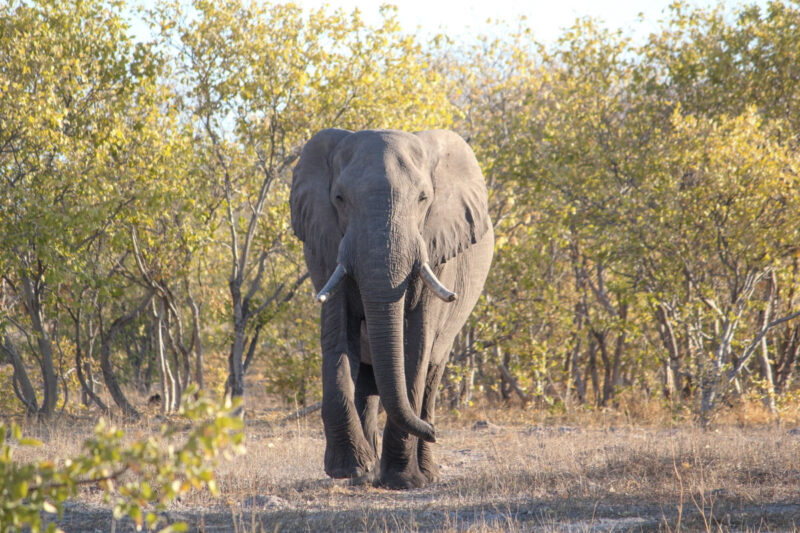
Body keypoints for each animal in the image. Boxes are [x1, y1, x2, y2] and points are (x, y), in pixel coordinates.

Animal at [290, 128, 494, 486]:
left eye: (423, 199)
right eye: (339, 198)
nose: (435, 432)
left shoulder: (438, 250)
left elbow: (417, 345)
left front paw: (403, 481)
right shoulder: (325, 246)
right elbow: (337, 335)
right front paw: (349, 471)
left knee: (431, 372)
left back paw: (423, 472)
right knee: (367, 380)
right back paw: (367, 473)